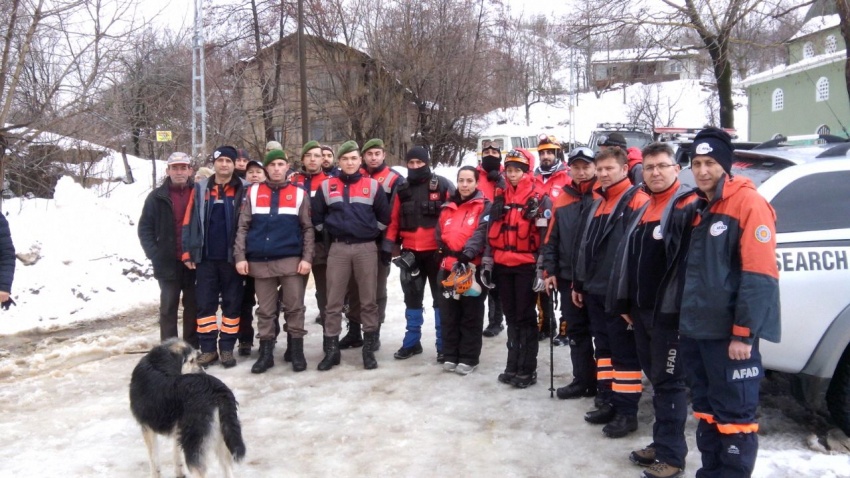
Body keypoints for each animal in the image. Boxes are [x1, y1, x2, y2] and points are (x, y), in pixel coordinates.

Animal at [129, 338, 247, 476]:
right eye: (191, 360)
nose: (203, 372)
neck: (156, 363)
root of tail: (218, 391)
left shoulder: (147, 427)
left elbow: (154, 461)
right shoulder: (178, 429)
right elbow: (176, 455)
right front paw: (180, 474)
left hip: (194, 441)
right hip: (222, 436)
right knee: (227, 467)